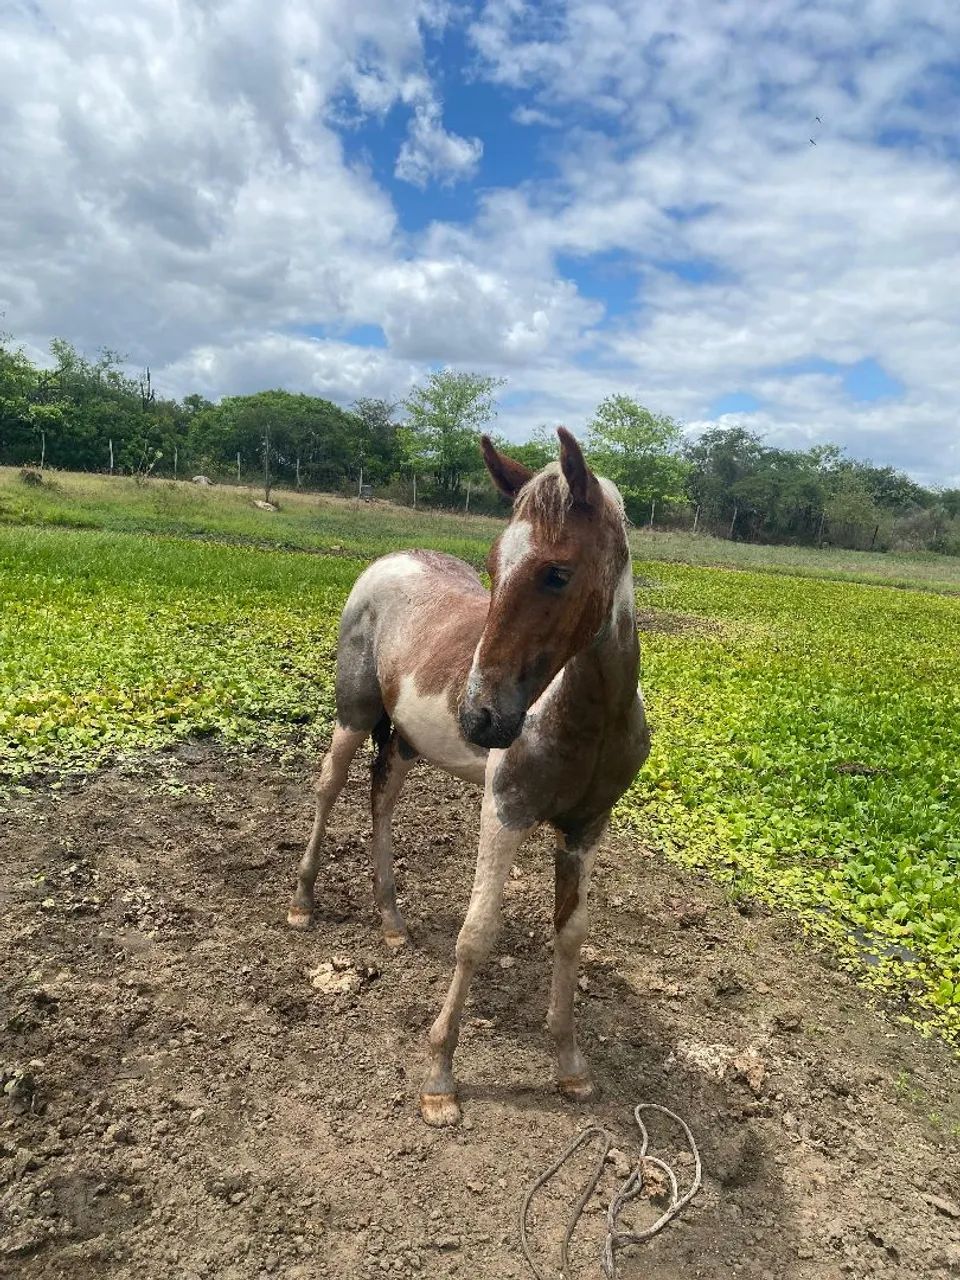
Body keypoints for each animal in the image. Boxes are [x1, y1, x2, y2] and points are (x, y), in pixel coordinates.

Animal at [288, 428, 651, 1126]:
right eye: (491, 565)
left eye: (556, 572)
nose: (481, 717)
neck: (586, 719)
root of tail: (393, 559)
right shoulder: (504, 810)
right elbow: (476, 934)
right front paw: (439, 1080)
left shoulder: (586, 827)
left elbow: (571, 936)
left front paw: (570, 1068)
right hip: (354, 716)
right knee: (328, 786)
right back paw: (302, 903)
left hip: (406, 741)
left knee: (381, 800)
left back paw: (392, 922)